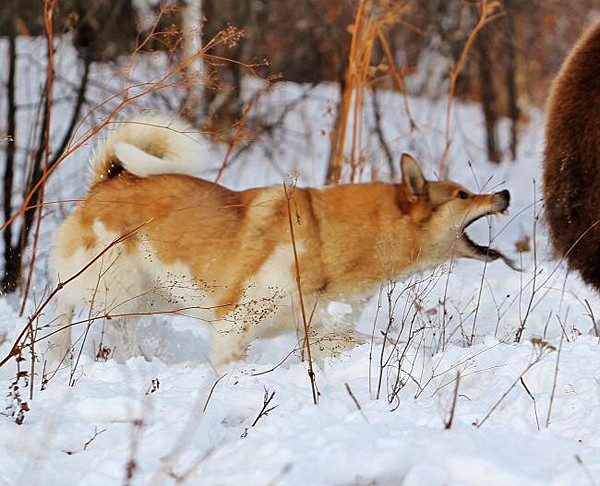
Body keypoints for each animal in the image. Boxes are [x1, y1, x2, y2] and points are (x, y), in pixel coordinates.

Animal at [45, 115, 515, 371]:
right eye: (462, 195)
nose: (506, 194)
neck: (326, 237)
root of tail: (110, 179)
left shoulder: (327, 335)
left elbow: (386, 346)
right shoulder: (233, 324)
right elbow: (228, 368)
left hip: (148, 295)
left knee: (116, 326)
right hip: (103, 282)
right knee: (64, 308)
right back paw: (54, 355)